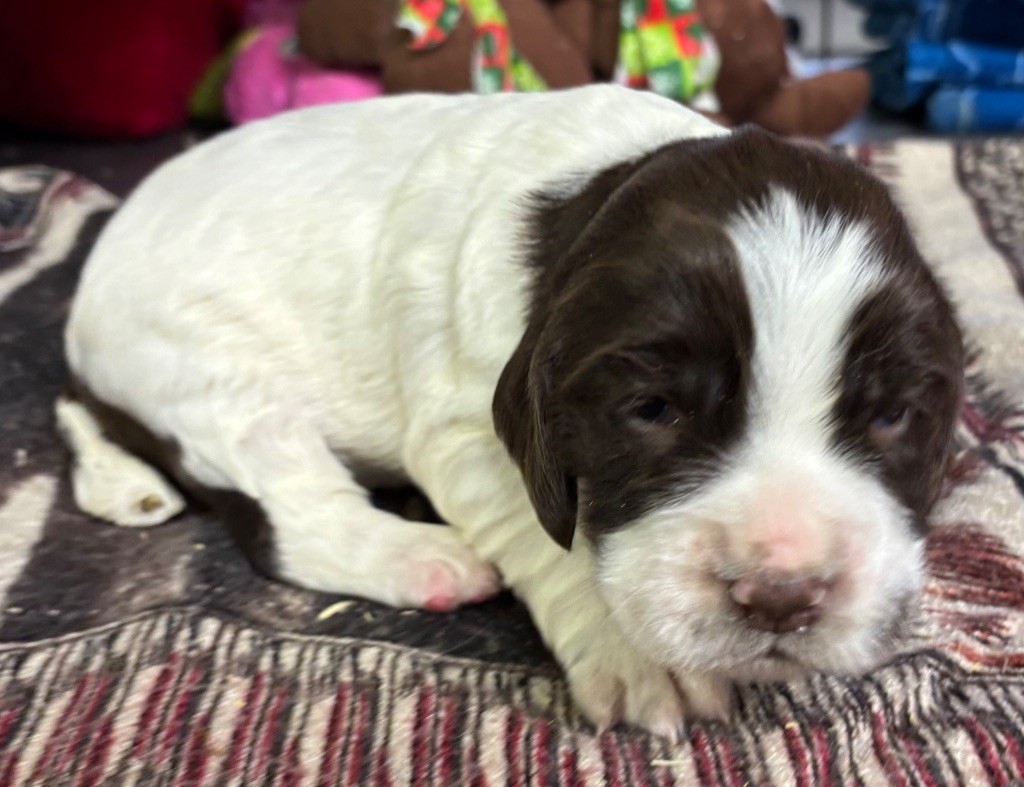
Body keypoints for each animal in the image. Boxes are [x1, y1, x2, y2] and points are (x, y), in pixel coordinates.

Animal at [59, 85, 962, 736]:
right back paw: (423, 558)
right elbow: (546, 534)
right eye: (652, 409)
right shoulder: (468, 422)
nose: (781, 594)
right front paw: (636, 653)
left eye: (892, 416)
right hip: (213, 379)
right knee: (286, 515)